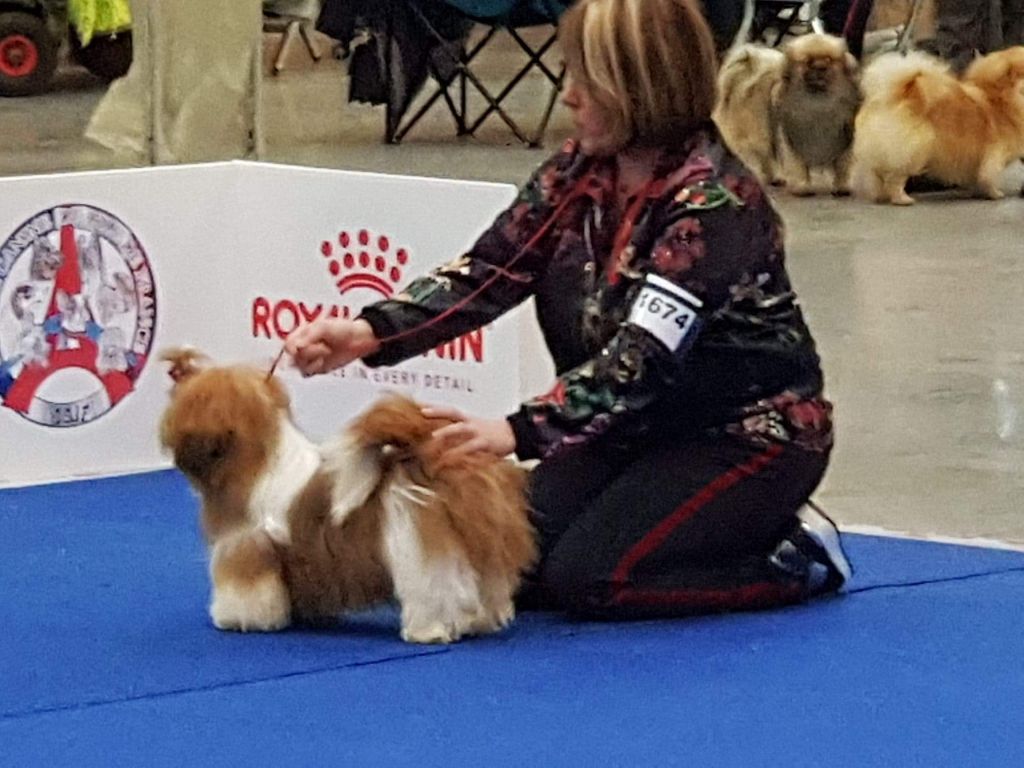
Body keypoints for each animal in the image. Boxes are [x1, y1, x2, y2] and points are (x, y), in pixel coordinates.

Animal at [157, 348, 536, 643]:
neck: (257, 463)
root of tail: (428, 457)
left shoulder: (245, 546)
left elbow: (246, 588)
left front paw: (238, 619)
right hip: (480, 543)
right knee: (487, 584)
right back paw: (481, 622)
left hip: (418, 550)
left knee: (435, 591)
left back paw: (429, 630)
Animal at [851, 47, 1024, 204]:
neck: (1002, 97)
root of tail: (891, 96)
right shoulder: (994, 155)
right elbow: (989, 176)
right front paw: (994, 194)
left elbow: (977, 177)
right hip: (912, 152)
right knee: (895, 178)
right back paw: (902, 199)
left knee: (877, 175)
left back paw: (881, 195)